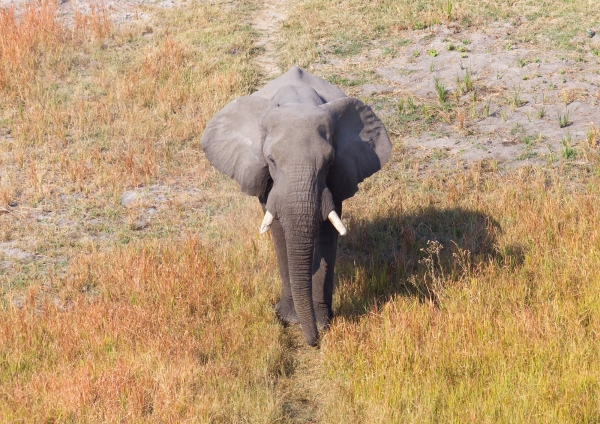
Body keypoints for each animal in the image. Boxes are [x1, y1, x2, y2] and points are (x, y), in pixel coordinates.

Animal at [199, 65, 392, 344]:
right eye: (271, 160)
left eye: (329, 162)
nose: (314, 342)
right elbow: (280, 230)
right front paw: (290, 320)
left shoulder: (339, 175)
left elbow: (328, 232)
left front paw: (322, 322)